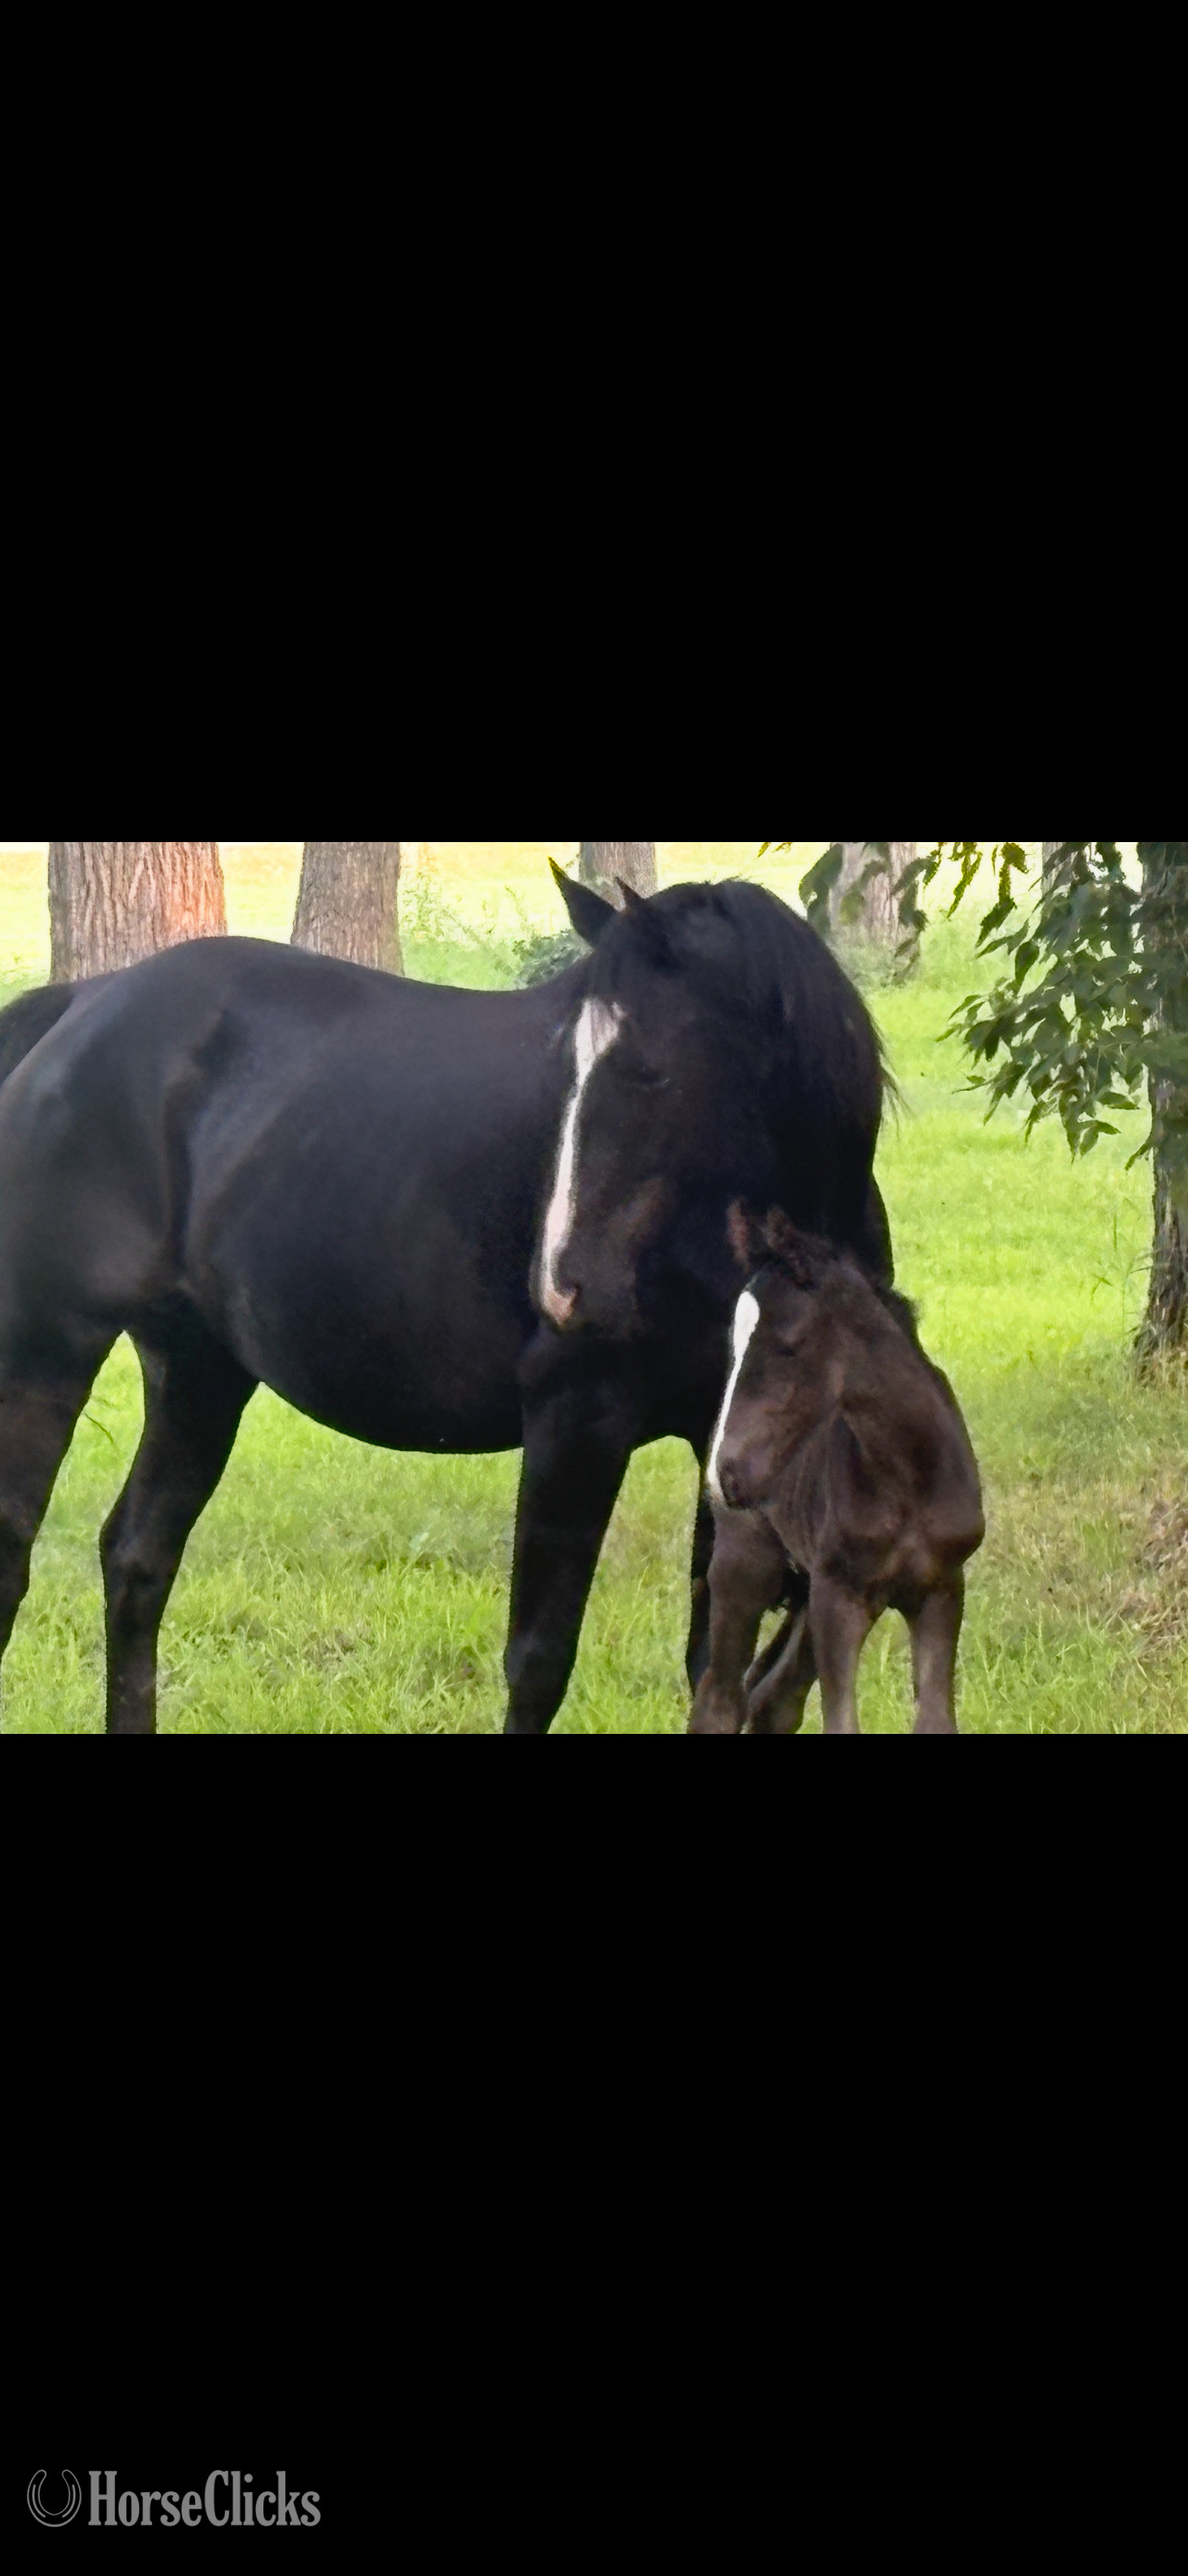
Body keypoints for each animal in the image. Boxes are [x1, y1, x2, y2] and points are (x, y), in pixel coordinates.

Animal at [0, 867, 895, 1734]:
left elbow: (713, 1671)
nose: (564, 1285)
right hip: (48, 1352)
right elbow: (538, 1663)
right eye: (563, 1069)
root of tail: (83, 1003)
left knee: (138, 1556)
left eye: (649, 1073)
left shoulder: (731, 1455)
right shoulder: (576, 1426)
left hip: (199, 1370)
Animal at [690, 1210, 985, 1736]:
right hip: (748, 1566)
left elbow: (935, 1720)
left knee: (772, 1702)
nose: (725, 1475)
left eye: (786, 1347)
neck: (908, 1474)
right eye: (733, 1347)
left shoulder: (942, 1588)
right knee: (719, 1703)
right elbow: (841, 1722)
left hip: (808, 1588)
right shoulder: (838, 1598)